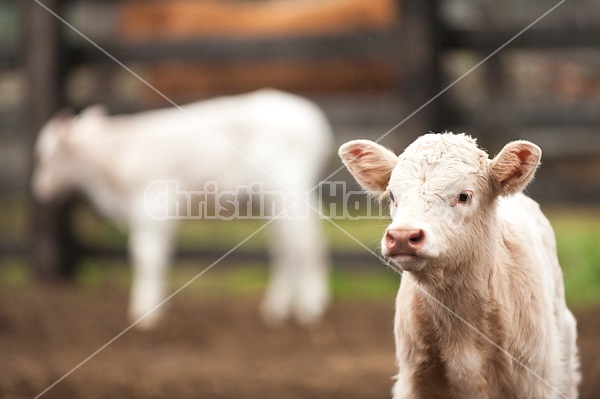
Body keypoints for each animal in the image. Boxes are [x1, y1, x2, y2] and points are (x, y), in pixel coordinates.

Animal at [32, 89, 332, 330]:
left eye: (45, 156)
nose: (39, 188)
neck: (115, 158)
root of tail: (314, 120)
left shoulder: (153, 208)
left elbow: (146, 258)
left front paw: (145, 314)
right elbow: (159, 257)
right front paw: (156, 307)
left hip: (288, 188)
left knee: (306, 239)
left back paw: (311, 307)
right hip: (273, 200)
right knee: (285, 244)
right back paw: (277, 309)